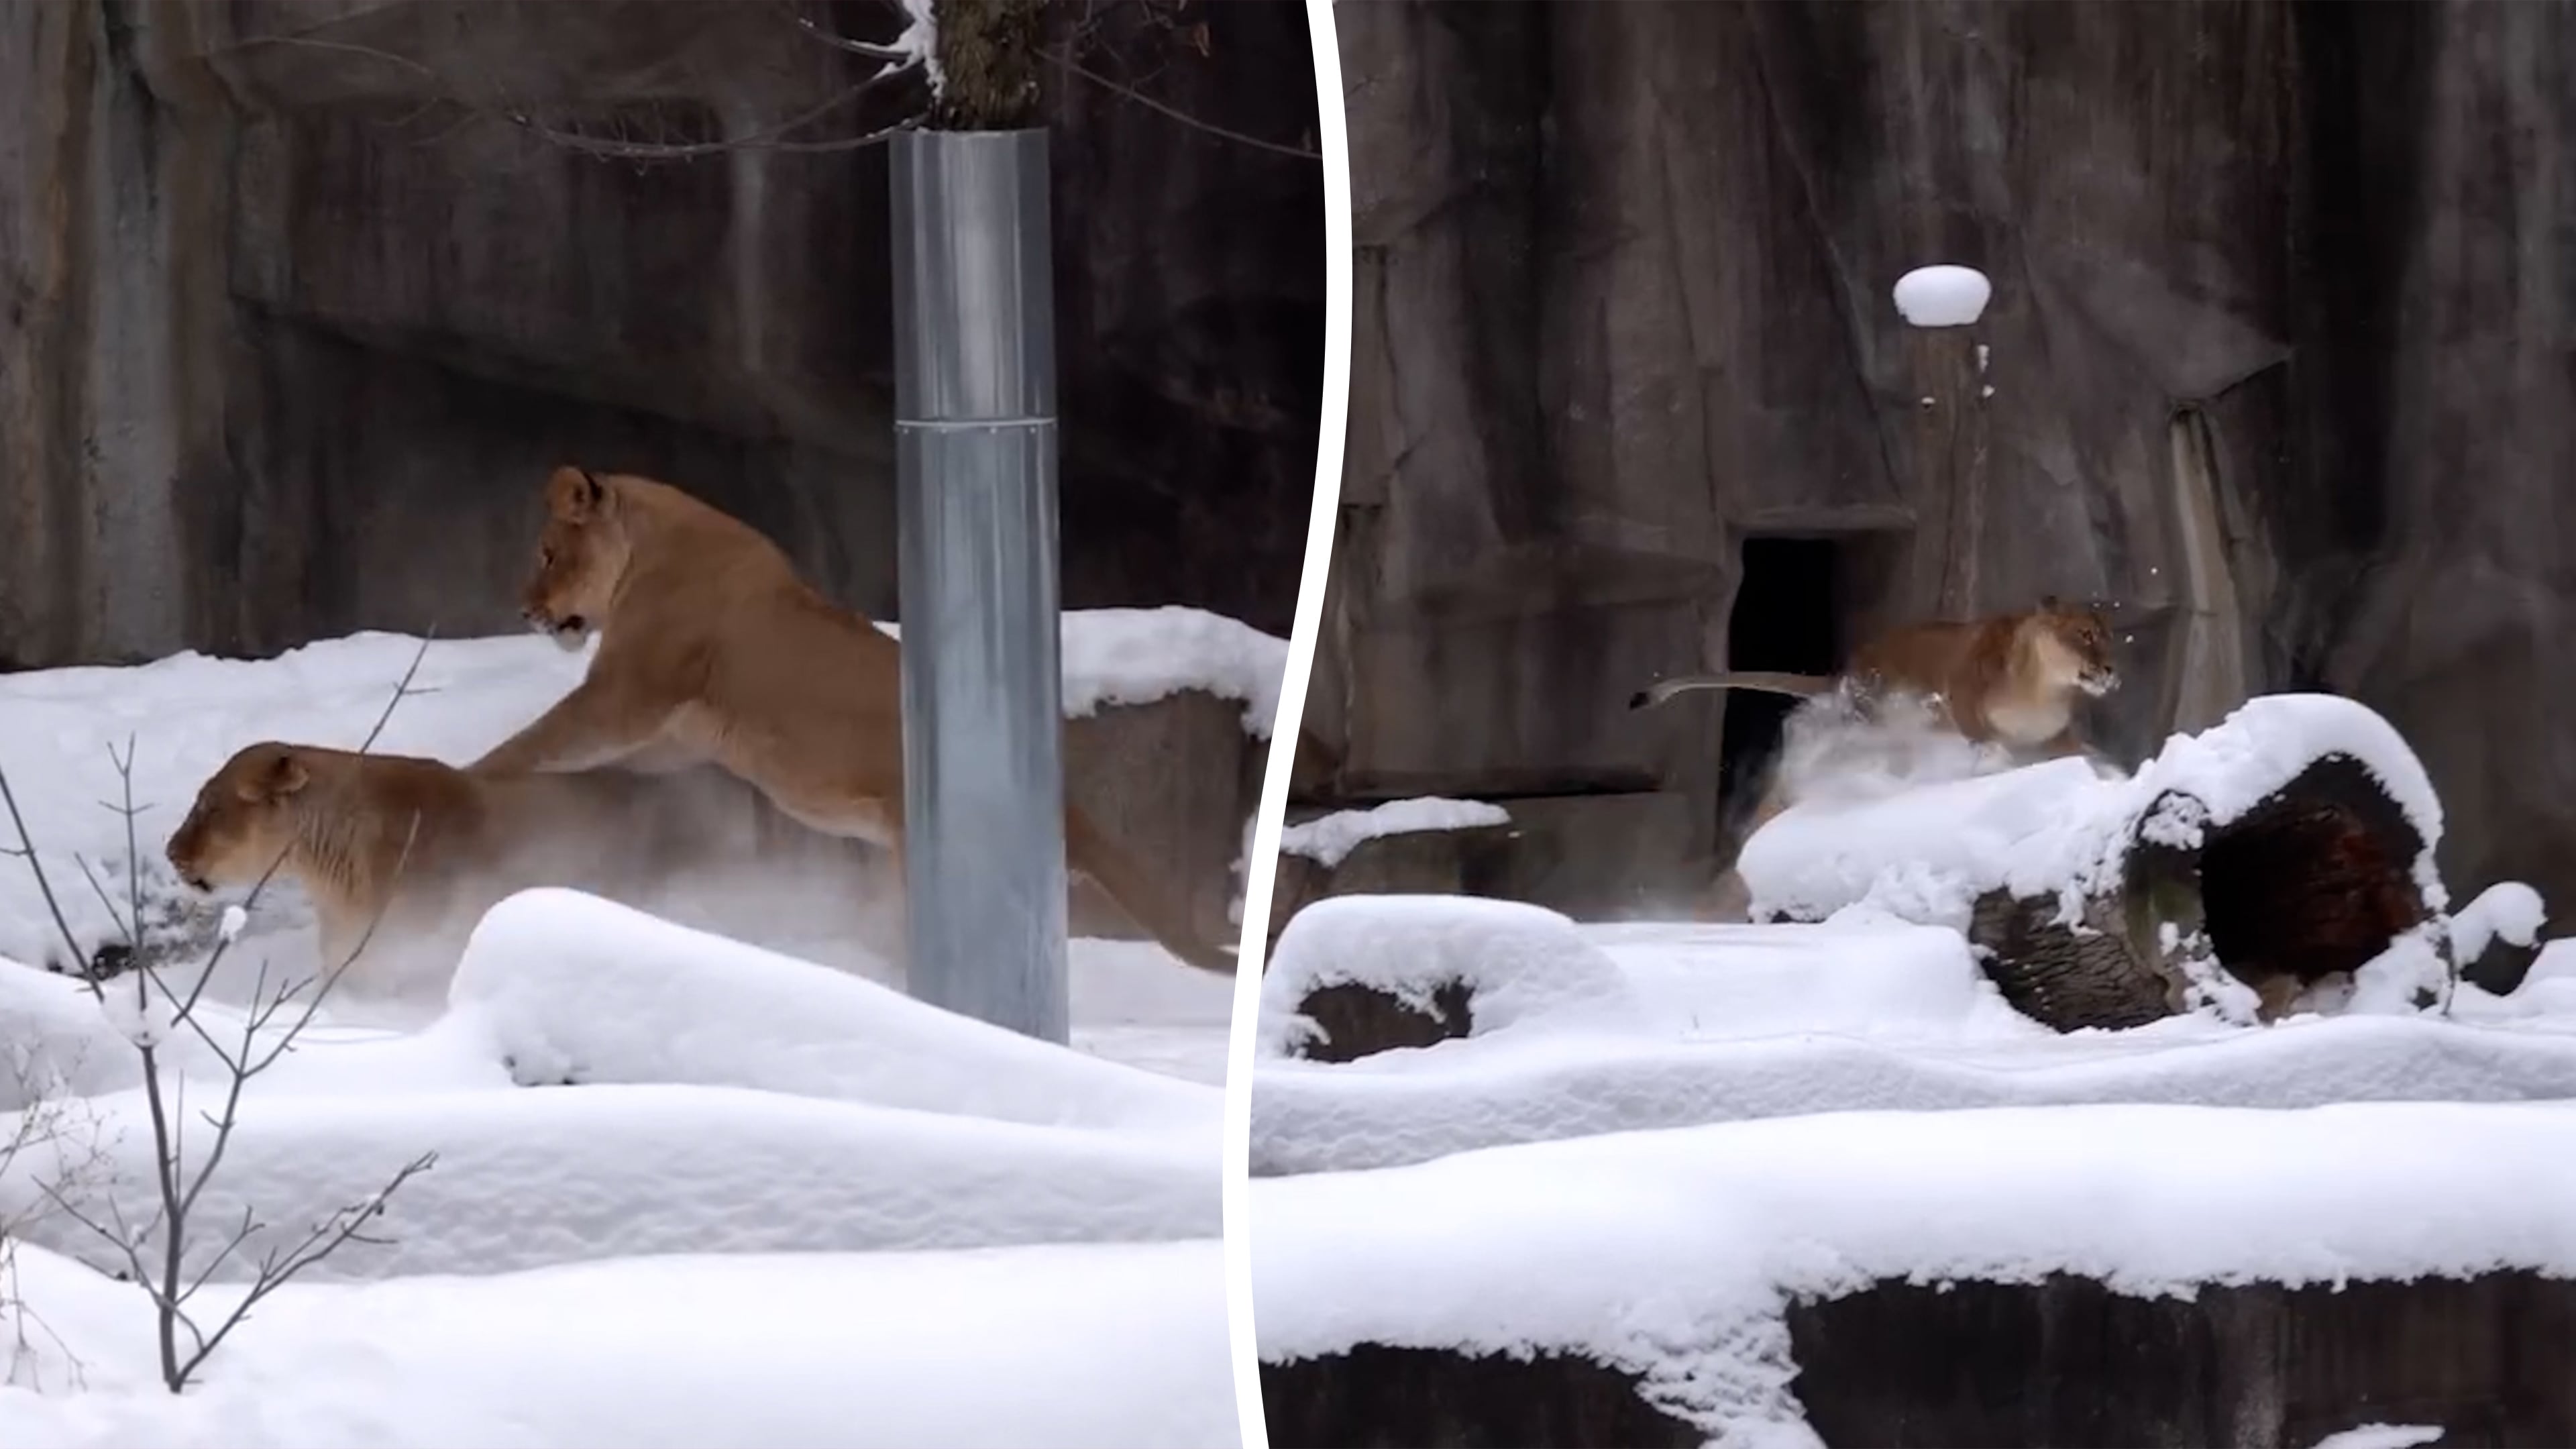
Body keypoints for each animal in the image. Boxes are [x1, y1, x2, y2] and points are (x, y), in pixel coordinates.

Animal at [470, 465, 1239, 974]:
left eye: (547, 553)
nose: (523, 611)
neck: (649, 544)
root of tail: (1068, 807)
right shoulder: (673, 734)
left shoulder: (628, 692)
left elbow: (537, 741)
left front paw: (466, 774)